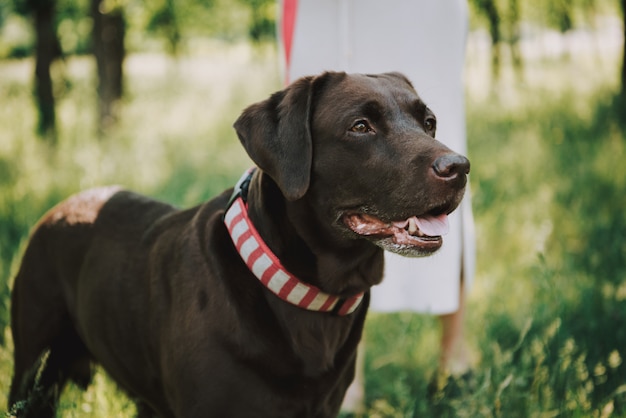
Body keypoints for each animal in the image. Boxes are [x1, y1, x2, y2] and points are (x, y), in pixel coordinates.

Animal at [8, 70, 468, 416]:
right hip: (32, 370)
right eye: (361, 127)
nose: (459, 166)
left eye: (429, 123)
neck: (308, 295)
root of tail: (57, 209)